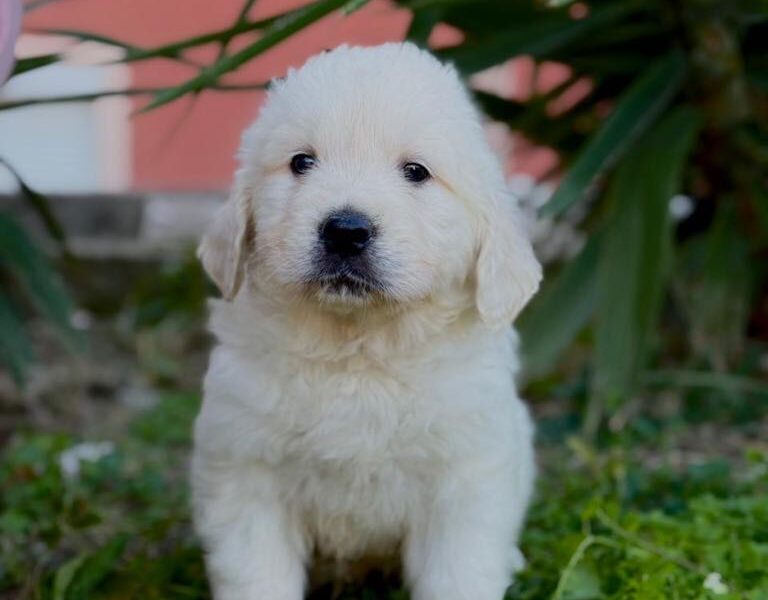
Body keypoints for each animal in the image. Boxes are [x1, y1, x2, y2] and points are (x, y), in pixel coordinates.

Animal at [192, 43, 540, 600]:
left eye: (416, 171)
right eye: (301, 162)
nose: (345, 230)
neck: (358, 347)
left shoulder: (464, 482)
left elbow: (458, 571)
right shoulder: (247, 471)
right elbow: (255, 571)